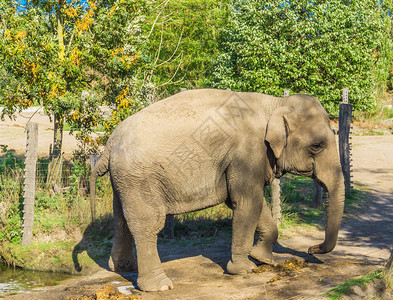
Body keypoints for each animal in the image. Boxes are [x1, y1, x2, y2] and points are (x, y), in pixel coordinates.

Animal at [89, 88, 344, 290]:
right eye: (317, 146)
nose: (311, 249)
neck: (275, 103)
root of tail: (111, 140)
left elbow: (251, 202)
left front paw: (264, 260)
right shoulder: (247, 154)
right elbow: (247, 202)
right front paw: (245, 269)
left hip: (123, 179)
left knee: (120, 218)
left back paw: (121, 268)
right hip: (139, 177)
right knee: (147, 223)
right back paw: (159, 286)